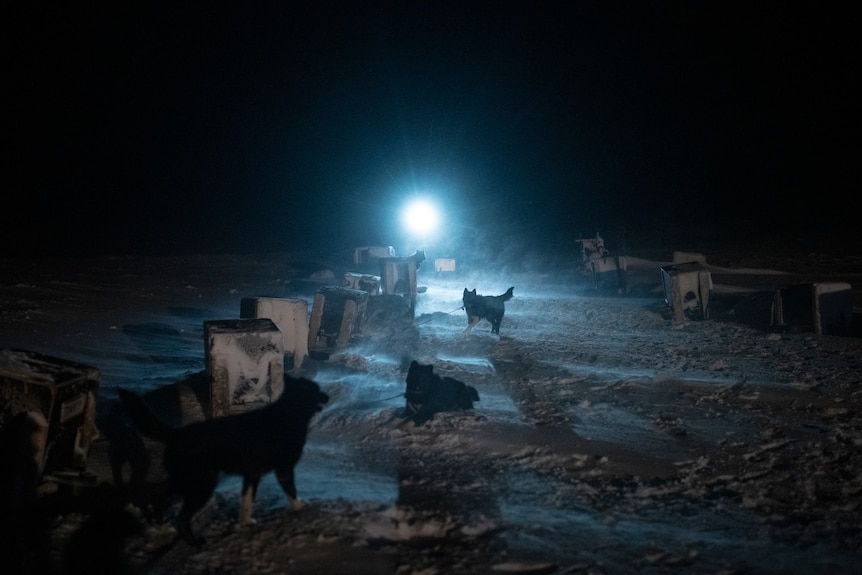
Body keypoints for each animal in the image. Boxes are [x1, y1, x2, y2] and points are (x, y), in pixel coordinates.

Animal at [118, 376, 328, 548]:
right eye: (317, 389)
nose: (327, 396)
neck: (290, 412)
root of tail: (178, 434)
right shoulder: (284, 469)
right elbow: (291, 491)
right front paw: (301, 507)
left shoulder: (252, 475)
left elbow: (247, 501)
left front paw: (245, 523)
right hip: (202, 484)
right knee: (182, 517)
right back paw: (195, 542)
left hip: (186, 480)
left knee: (160, 495)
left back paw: (160, 524)